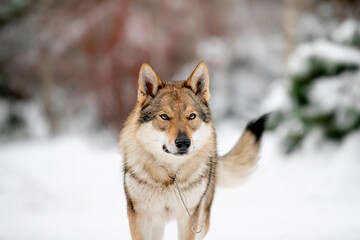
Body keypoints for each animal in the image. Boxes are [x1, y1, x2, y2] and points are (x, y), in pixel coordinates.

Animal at [119, 62, 266, 240]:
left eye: (191, 116)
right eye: (164, 116)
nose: (183, 142)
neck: (170, 176)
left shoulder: (189, 218)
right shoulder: (140, 217)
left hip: (203, 220)